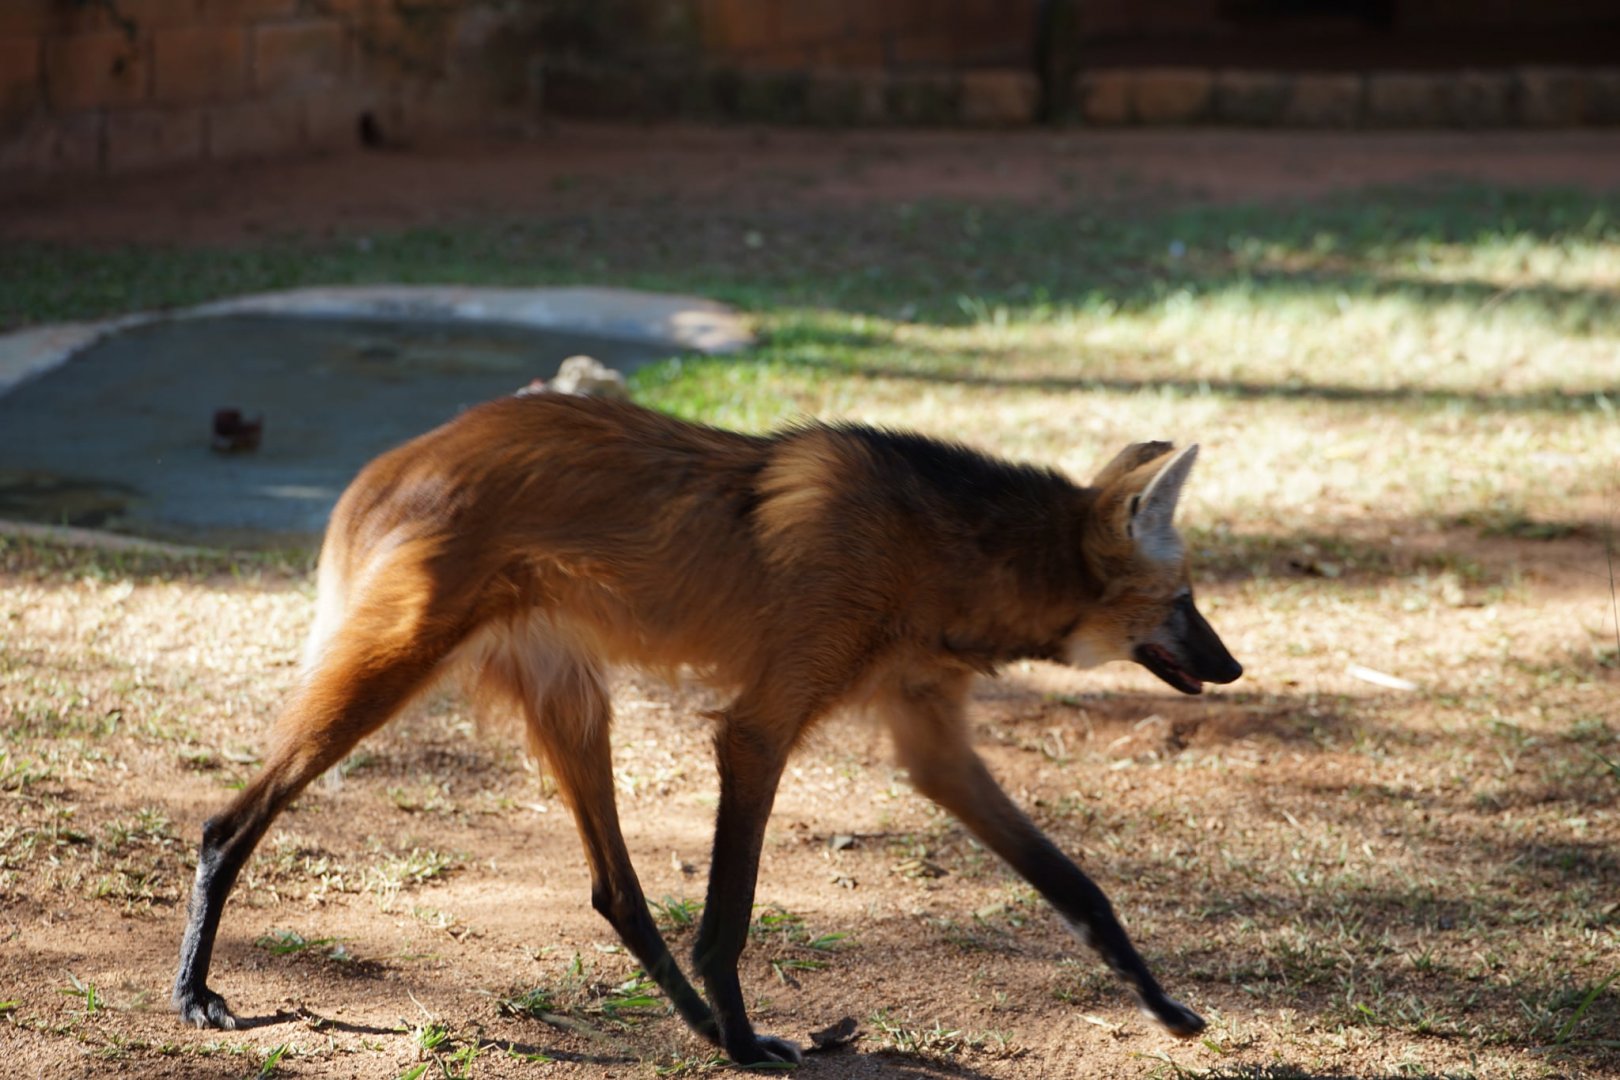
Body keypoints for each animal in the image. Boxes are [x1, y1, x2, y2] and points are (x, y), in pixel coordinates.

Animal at [173, 393, 1242, 1064]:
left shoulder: (928, 739)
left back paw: (690, 1029)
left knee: (615, 890)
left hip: (570, 698)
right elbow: (731, 910)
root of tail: (395, 459)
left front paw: (1169, 1009)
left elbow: (1076, 885)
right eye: (1185, 601)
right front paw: (744, 1038)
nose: (1232, 667)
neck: (943, 557)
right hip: (395, 669)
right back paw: (194, 993)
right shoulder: (760, 729)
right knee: (230, 823)